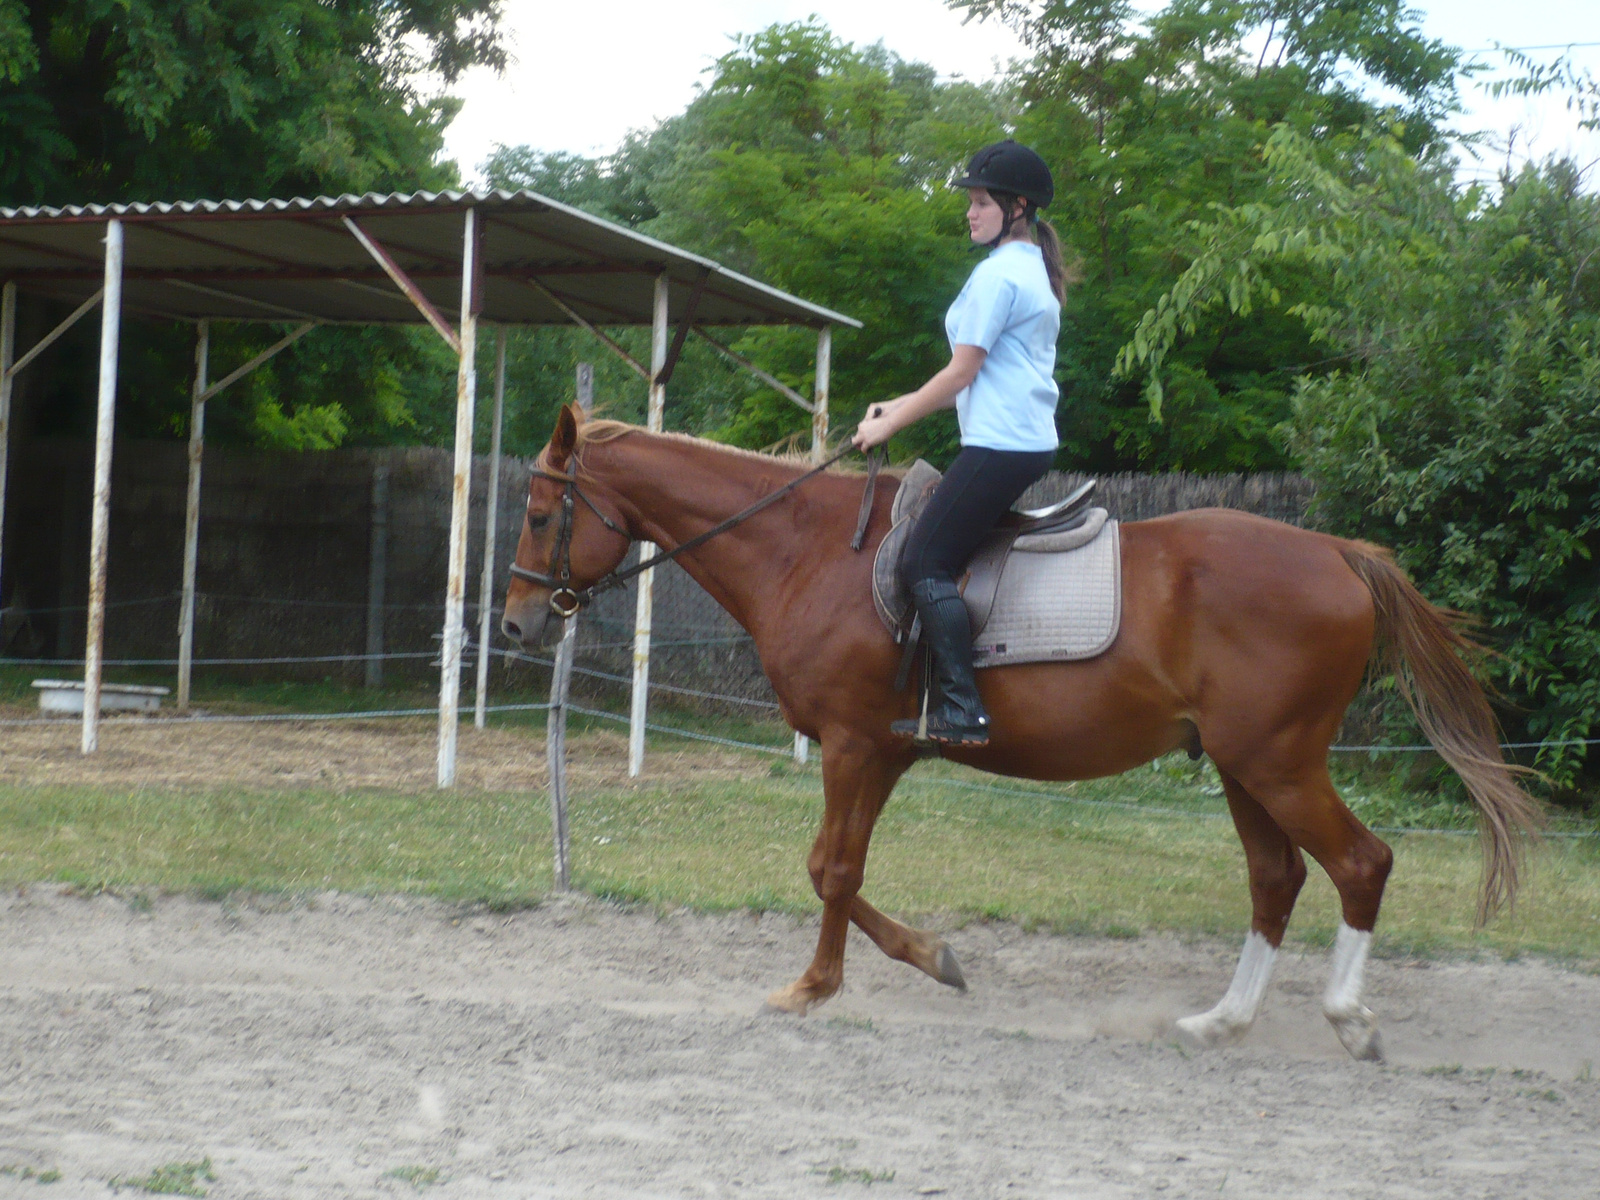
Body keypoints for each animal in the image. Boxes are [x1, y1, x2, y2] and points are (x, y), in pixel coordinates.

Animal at [505, 412, 1542, 1062]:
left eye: (542, 513)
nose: (516, 626)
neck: (807, 550)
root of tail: (1335, 552)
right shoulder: (883, 750)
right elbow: (833, 867)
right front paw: (934, 957)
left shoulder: (851, 744)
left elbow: (832, 870)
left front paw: (813, 987)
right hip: (1243, 766)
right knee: (1276, 879)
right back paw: (1220, 1023)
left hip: (1277, 761)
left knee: (1360, 864)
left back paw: (1347, 1019)